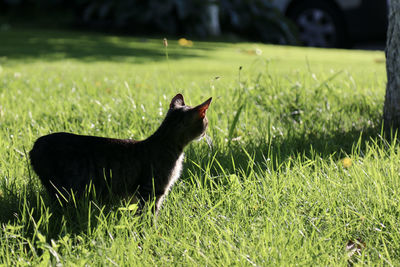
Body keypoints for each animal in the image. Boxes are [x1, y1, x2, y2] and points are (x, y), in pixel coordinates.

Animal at [30, 94, 212, 214]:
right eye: (206, 121)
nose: (206, 131)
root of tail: (35, 146)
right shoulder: (152, 191)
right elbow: (149, 216)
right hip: (64, 189)